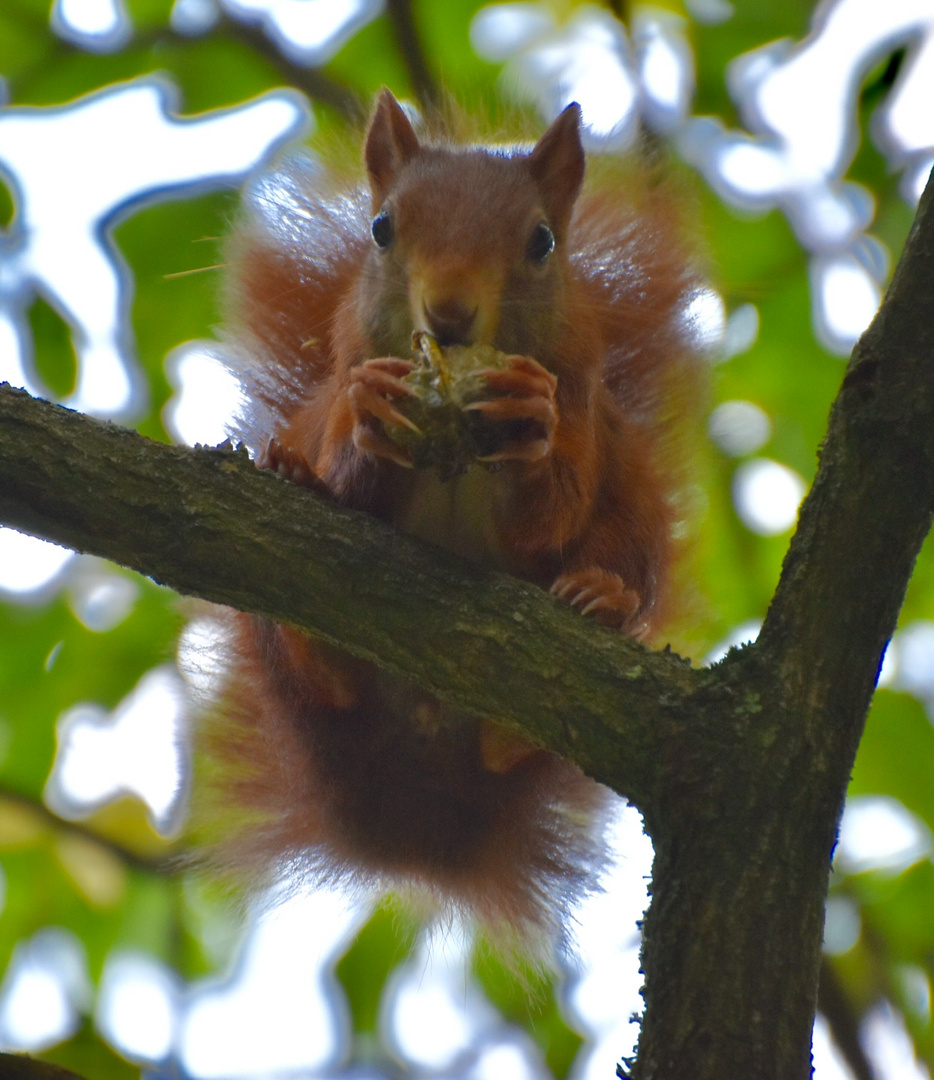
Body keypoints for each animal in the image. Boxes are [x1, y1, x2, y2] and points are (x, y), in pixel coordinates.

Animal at [196, 90, 704, 946]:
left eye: (542, 242)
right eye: (381, 228)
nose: (451, 312)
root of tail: (416, 814)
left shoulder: (586, 414)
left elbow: (556, 508)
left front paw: (527, 422)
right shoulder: (338, 387)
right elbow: (353, 461)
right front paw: (367, 421)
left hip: (630, 523)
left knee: (521, 727)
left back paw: (601, 599)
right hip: (288, 652)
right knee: (320, 669)